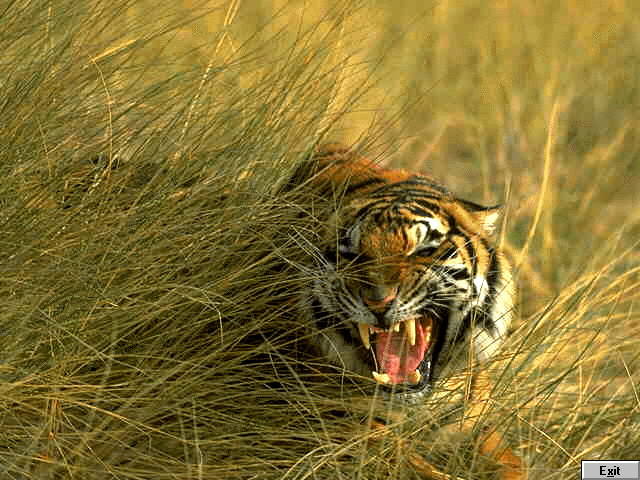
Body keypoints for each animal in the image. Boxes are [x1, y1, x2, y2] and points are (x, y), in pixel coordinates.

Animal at [289, 143, 526, 480]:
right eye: (352, 254)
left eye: (424, 250)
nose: (378, 301)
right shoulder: (325, 416)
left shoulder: (474, 425)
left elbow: (512, 464)